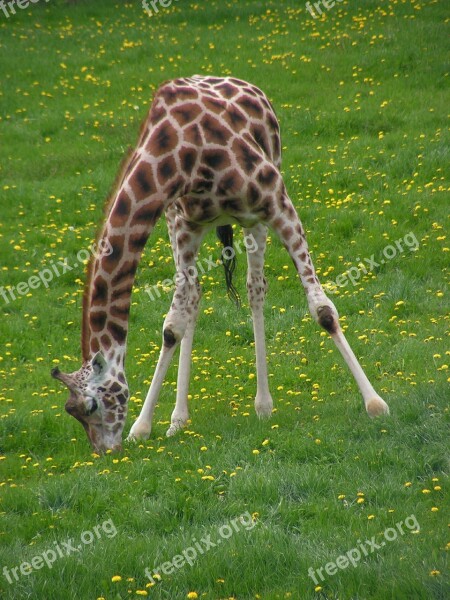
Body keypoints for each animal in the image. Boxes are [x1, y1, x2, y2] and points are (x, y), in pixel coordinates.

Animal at [51, 75, 388, 452]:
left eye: (91, 405)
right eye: (71, 412)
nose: (105, 450)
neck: (183, 157)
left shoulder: (277, 203)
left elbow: (323, 310)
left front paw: (375, 403)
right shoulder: (184, 225)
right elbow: (173, 325)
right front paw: (143, 425)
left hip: (255, 215)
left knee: (255, 288)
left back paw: (263, 405)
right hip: (184, 226)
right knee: (194, 297)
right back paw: (178, 419)